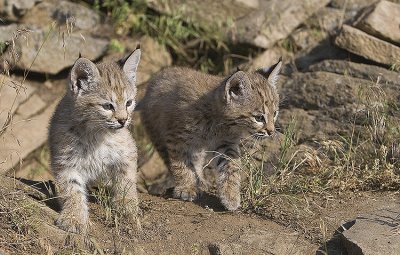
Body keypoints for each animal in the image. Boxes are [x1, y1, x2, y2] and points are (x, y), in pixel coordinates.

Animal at [48, 46, 142, 233]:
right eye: (107, 106)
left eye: (129, 103)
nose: (123, 120)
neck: (97, 133)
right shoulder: (65, 161)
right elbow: (72, 189)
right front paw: (74, 218)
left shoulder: (127, 151)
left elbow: (126, 181)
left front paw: (127, 207)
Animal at [139, 59, 282, 209]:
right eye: (259, 118)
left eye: (275, 113)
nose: (271, 132)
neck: (220, 121)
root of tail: (162, 73)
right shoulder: (176, 137)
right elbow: (181, 164)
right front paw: (187, 188)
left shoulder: (226, 143)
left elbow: (231, 166)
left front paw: (231, 195)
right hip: (157, 133)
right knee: (170, 159)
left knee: (196, 160)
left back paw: (201, 181)